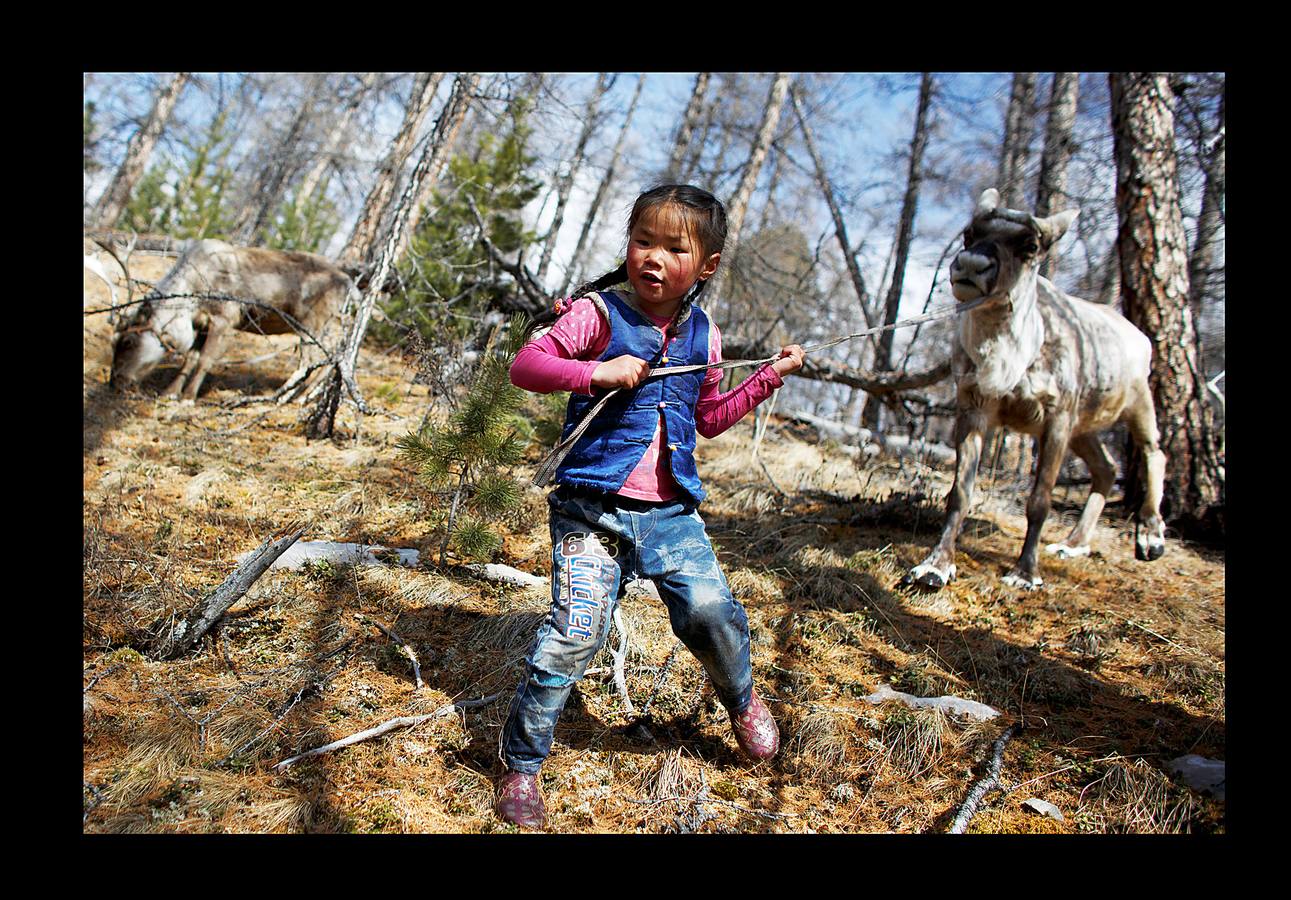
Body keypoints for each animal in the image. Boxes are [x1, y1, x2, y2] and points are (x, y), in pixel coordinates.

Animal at [109, 239, 357, 401]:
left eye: (128, 341)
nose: (114, 383)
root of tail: (350, 285)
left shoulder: (224, 320)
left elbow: (205, 360)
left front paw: (188, 397)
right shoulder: (201, 324)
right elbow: (190, 358)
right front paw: (169, 393)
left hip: (312, 325)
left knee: (312, 361)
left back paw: (290, 397)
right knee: (332, 358)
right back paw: (304, 395)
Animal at [904, 189, 1167, 592]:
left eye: (1031, 246)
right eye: (969, 234)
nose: (971, 264)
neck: (1009, 360)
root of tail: (1139, 335)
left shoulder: (1056, 417)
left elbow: (1040, 500)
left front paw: (1026, 572)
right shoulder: (974, 405)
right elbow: (960, 492)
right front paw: (936, 565)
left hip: (1135, 400)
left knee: (1155, 451)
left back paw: (1151, 537)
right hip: (1083, 427)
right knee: (1107, 469)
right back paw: (1072, 544)